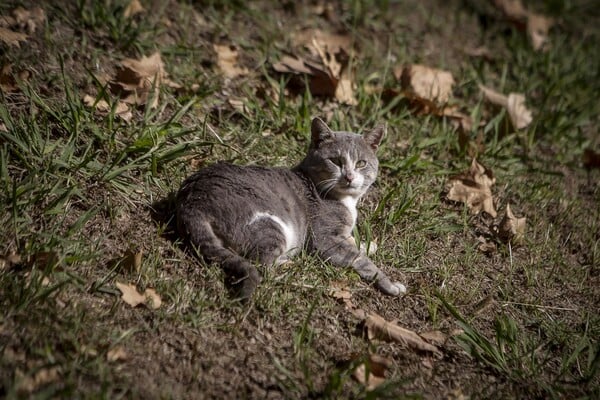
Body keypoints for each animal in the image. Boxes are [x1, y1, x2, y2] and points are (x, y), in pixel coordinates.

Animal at [176, 118, 406, 300]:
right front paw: (391, 284)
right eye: (335, 161)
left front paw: (369, 244)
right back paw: (294, 266)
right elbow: (362, 260)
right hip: (271, 225)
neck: (346, 202)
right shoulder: (325, 239)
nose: (349, 177)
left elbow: (355, 243)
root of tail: (192, 202)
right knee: (262, 264)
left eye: (361, 163)